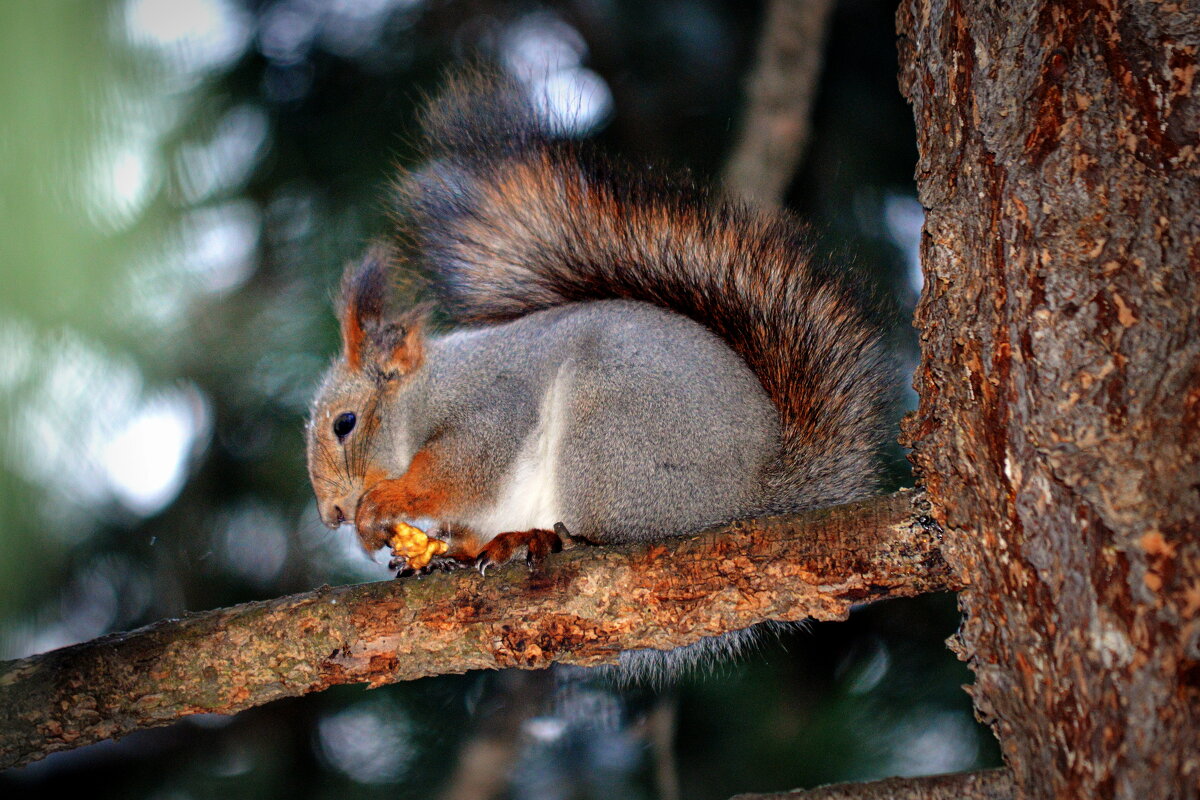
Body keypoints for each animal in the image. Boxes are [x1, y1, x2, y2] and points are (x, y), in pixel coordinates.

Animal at [304, 71, 892, 676]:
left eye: (344, 424)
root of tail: (748, 500)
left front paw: (383, 505)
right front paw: (430, 551)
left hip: (613, 433)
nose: (330, 515)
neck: (425, 395)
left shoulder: (491, 405)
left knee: (606, 537)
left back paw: (537, 539)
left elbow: (461, 469)